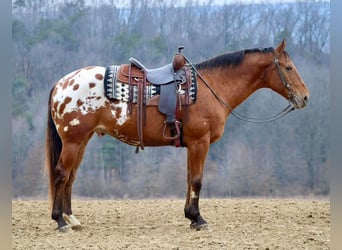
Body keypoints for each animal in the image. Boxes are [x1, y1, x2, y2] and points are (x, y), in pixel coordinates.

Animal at [45, 40, 310, 231]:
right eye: (288, 68)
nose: (305, 97)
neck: (211, 88)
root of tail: (61, 83)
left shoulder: (192, 145)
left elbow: (189, 179)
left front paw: (190, 217)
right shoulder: (200, 143)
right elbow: (197, 180)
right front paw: (199, 219)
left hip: (82, 141)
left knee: (70, 177)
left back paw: (72, 219)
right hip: (73, 141)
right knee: (61, 174)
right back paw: (60, 221)